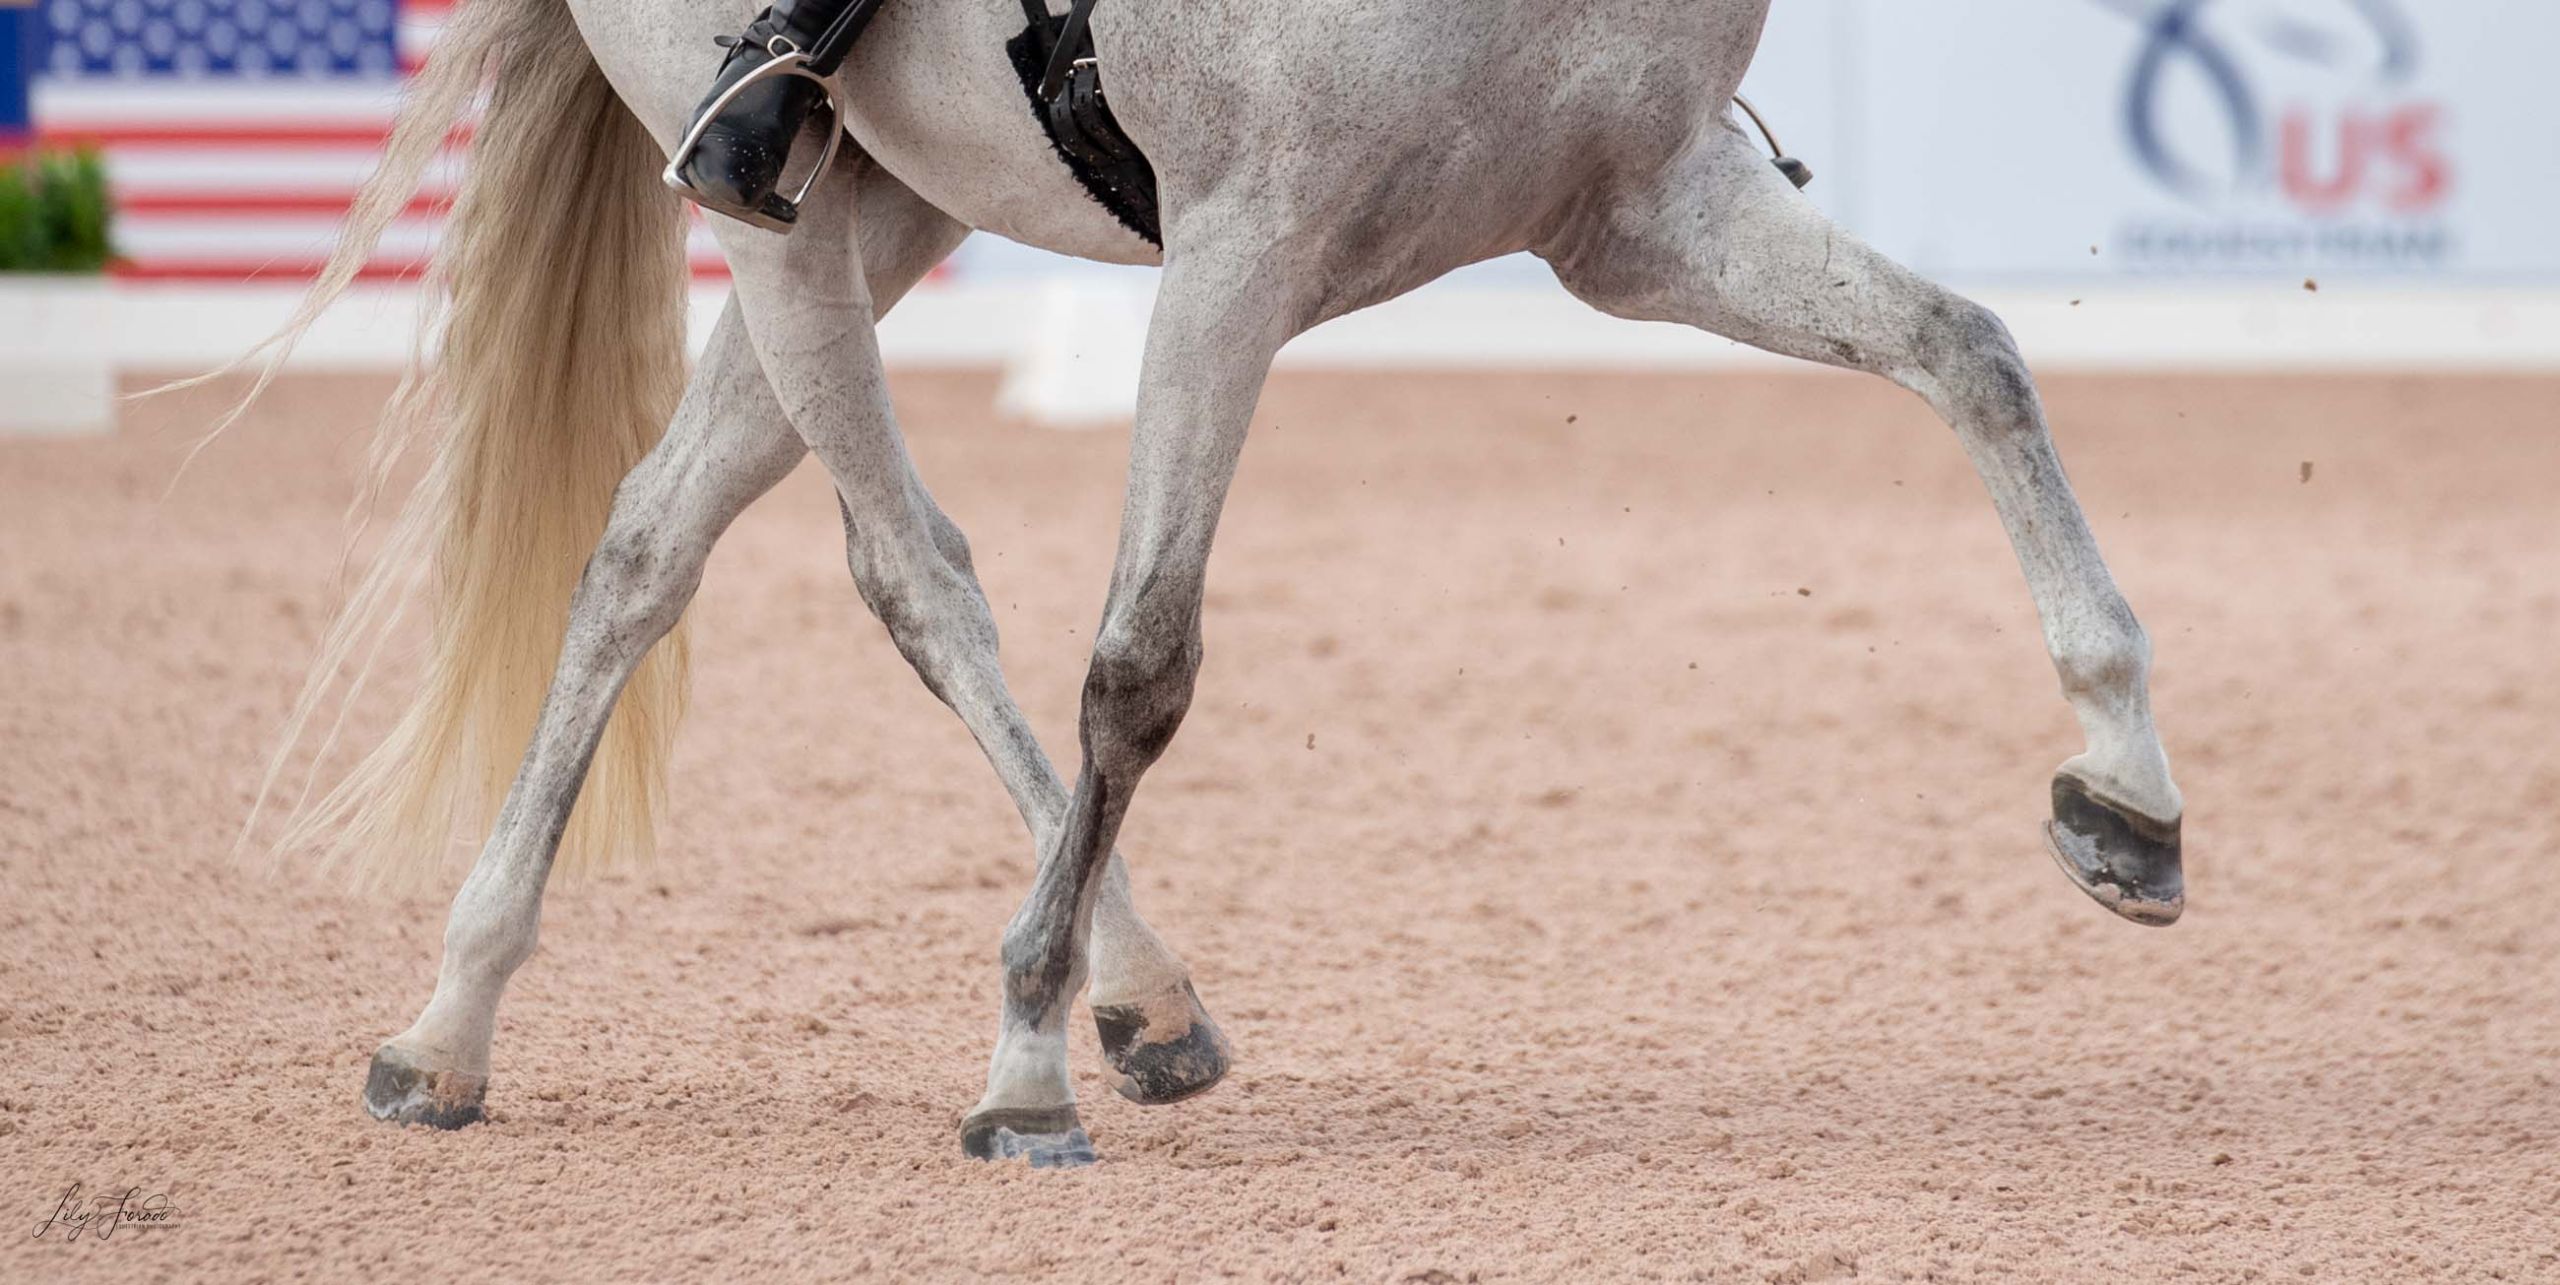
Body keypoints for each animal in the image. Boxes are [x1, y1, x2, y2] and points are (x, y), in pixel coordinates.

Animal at [249, 0, 2191, 1162]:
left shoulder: (1638, 214)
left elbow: (1968, 354)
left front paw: (2123, 793)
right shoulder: (1245, 241)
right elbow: (1144, 664)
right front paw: (1020, 1068)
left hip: (883, 194)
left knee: (657, 539)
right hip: (766, 189)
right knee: (906, 564)